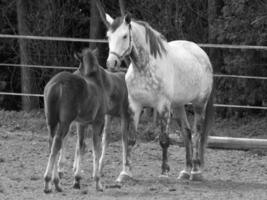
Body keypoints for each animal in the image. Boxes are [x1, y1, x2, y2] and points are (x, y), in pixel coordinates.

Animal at [103, 12, 215, 181]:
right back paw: (186, 171)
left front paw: (164, 173)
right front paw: (125, 173)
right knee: (187, 133)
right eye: (108, 36)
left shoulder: (163, 106)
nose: (112, 63)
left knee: (197, 134)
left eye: (124, 36)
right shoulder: (135, 105)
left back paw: (196, 172)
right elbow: (131, 139)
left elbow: (164, 140)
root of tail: (202, 54)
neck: (145, 67)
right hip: (178, 106)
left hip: (199, 104)